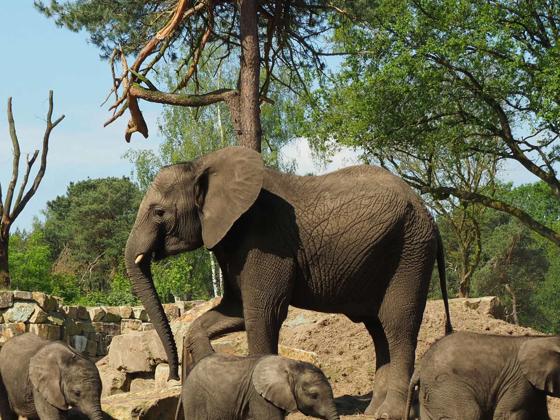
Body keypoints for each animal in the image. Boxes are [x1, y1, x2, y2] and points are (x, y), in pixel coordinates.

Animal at [126, 146, 450, 418]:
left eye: (159, 212)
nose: (171, 376)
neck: (203, 163)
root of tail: (431, 215)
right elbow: (233, 310)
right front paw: (206, 356)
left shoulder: (266, 240)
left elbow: (262, 314)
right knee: (378, 329)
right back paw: (371, 411)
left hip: (410, 251)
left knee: (397, 324)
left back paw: (388, 413)